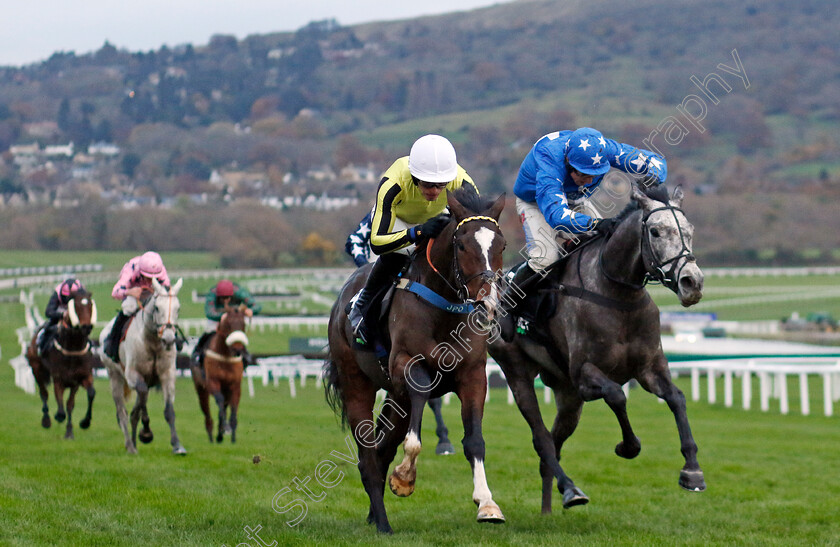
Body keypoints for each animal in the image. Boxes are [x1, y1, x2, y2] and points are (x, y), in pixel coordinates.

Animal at [25, 292, 98, 440]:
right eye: (76, 306)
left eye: (90, 305)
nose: (86, 327)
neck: (73, 348)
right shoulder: (59, 379)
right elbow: (60, 406)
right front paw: (59, 417)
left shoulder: (80, 378)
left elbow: (82, 398)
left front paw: (81, 425)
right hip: (37, 369)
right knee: (44, 393)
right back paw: (46, 420)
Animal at [99, 278, 185, 454]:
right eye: (157, 307)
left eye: (178, 308)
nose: (168, 339)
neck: (152, 343)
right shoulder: (133, 375)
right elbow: (142, 400)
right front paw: (146, 433)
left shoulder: (167, 375)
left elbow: (168, 410)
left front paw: (177, 445)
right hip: (115, 376)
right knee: (122, 412)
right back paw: (130, 445)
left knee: (135, 408)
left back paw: (133, 441)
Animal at [192, 306, 251, 444]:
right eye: (228, 324)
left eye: (243, 324)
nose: (238, 350)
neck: (225, 356)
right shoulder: (212, 382)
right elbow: (219, 400)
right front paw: (226, 429)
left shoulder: (235, 386)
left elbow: (233, 409)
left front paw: (232, 436)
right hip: (201, 389)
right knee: (207, 411)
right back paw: (211, 436)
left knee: (224, 406)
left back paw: (220, 433)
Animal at [322, 189, 506, 536]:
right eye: (462, 245)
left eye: (500, 246)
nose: (487, 303)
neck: (444, 308)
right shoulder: (408, 365)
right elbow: (415, 431)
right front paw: (405, 477)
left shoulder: (473, 374)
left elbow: (475, 441)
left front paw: (487, 504)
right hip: (357, 383)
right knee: (368, 455)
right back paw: (382, 523)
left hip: (396, 398)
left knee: (382, 450)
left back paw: (374, 514)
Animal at [488, 184, 704, 512]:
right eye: (655, 231)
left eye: (689, 231)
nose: (693, 282)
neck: (618, 296)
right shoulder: (584, 375)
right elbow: (616, 395)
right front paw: (628, 446)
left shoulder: (650, 367)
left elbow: (676, 398)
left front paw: (692, 471)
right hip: (518, 373)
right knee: (542, 439)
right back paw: (570, 490)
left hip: (567, 395)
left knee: (553, 445)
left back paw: (549, 508)